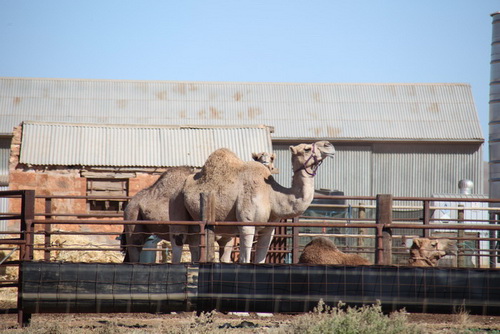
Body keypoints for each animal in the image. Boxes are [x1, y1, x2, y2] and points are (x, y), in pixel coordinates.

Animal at [121, 152, 278, 264]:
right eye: (259, 159)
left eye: (271, 162)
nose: (266, 166)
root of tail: (129, 203)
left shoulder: (226, 238)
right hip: (133, 218)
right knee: (135, 249)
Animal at [182, 141, 334, 264]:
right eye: (307, 149)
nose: (329, 145)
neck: (272, 195)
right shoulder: (246, 225)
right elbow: (245, 260)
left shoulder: (269, 229)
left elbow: (260, 261)